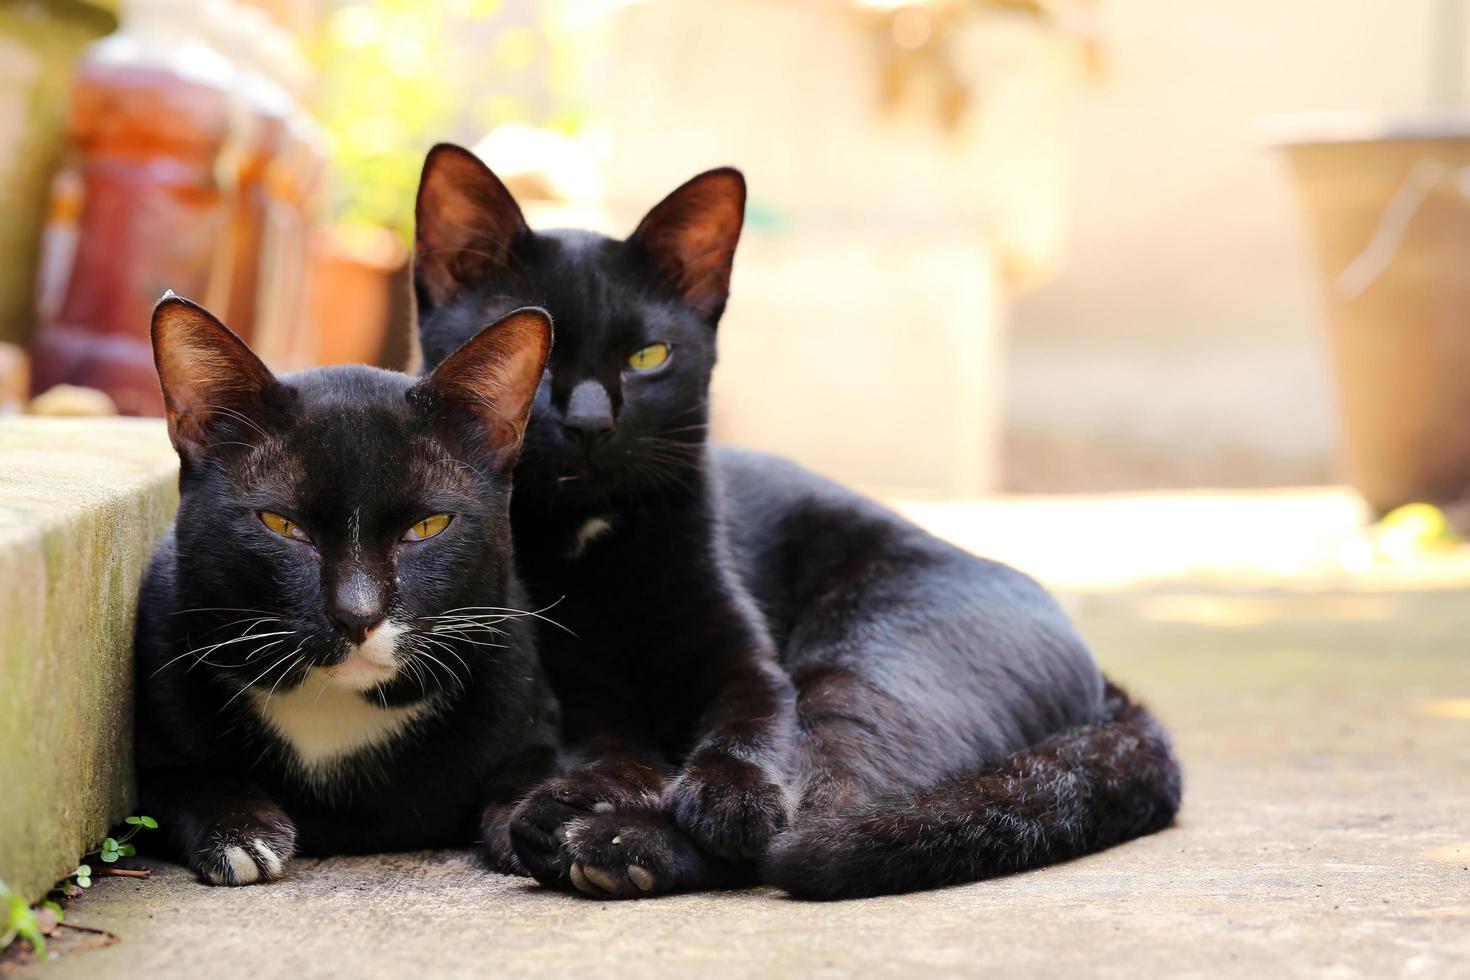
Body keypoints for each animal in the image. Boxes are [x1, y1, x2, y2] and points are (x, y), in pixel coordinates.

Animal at [133, 295, 561, 887]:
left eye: (427, 527)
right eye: (282, 525)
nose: (358, 614)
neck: (334, 706)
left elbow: (531, 768)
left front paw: (553, 824)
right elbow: (174, 778)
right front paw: (239, 832)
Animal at [414, 141, 1181, 899]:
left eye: (648, 357)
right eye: (541, 365)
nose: (590, 423)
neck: (594, 539)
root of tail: (1100, 677)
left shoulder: (747, 661)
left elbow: (751, 727)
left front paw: (728, 796)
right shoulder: (579, 689)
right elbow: (615, 752)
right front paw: (590, 791)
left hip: (862, 666)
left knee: (813, 824)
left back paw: (615, 844)